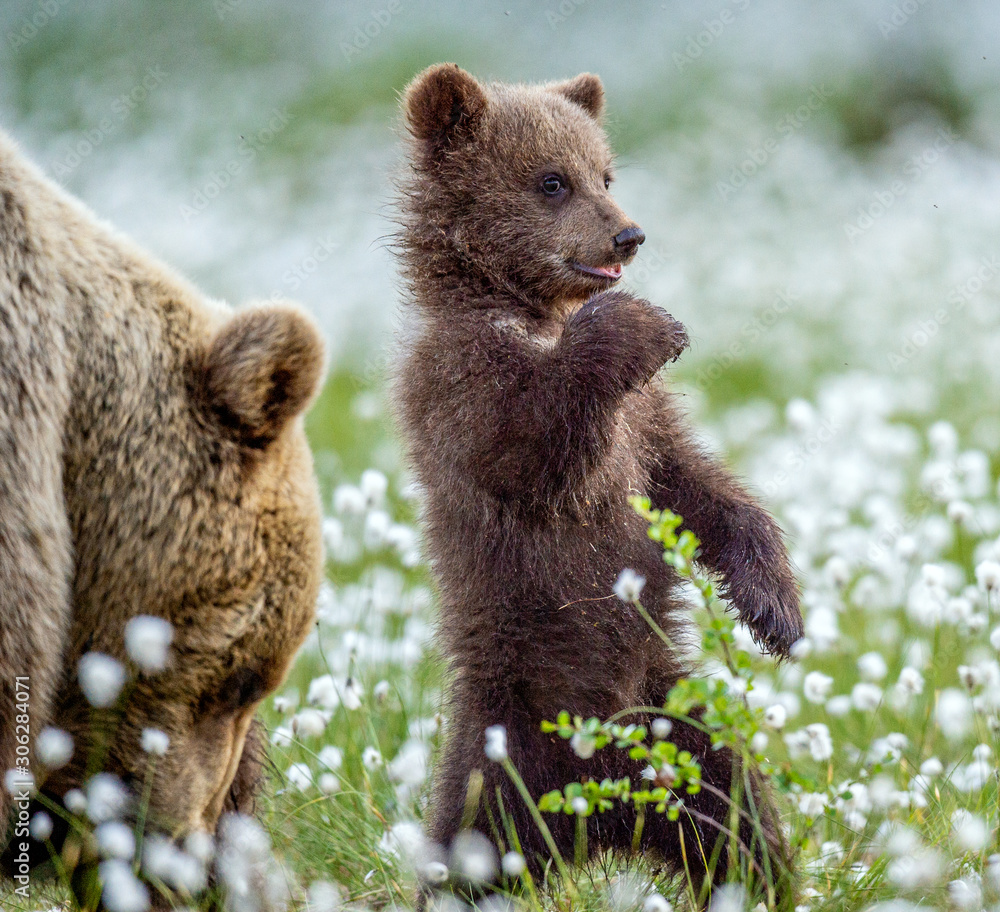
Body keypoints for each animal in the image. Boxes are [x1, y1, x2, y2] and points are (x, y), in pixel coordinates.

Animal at [393, 64, 804, 906]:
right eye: (552, 180)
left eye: (605, 173)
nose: (627, 235)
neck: (528, 306)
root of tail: (600, 809)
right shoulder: (458, 383)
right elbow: (529, 451)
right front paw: (642, 323)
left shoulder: (646, 420)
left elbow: (691, 487)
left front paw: (775, 609)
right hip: (504, 750)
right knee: (465, 849)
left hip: (678, 730)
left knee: (738, 820)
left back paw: (768, 877)